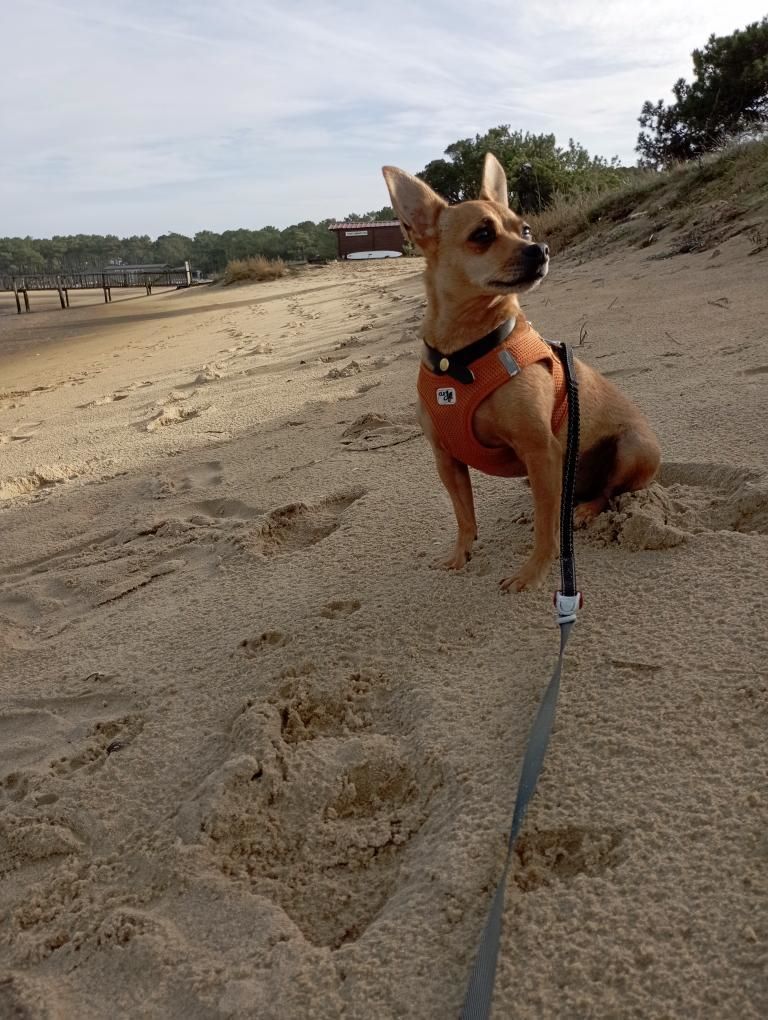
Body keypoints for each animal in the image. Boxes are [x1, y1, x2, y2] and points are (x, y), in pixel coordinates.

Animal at [381, 155, 660, 595]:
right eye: (482, 234)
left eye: (525, 229)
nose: (540, 248)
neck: (463, 356)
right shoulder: (447, 460)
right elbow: (464, 516)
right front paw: (460, 556)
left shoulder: (539, 449)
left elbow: (546, 533)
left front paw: (532, 574)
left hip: (632, 448)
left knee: (606, 492)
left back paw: (584, 511)